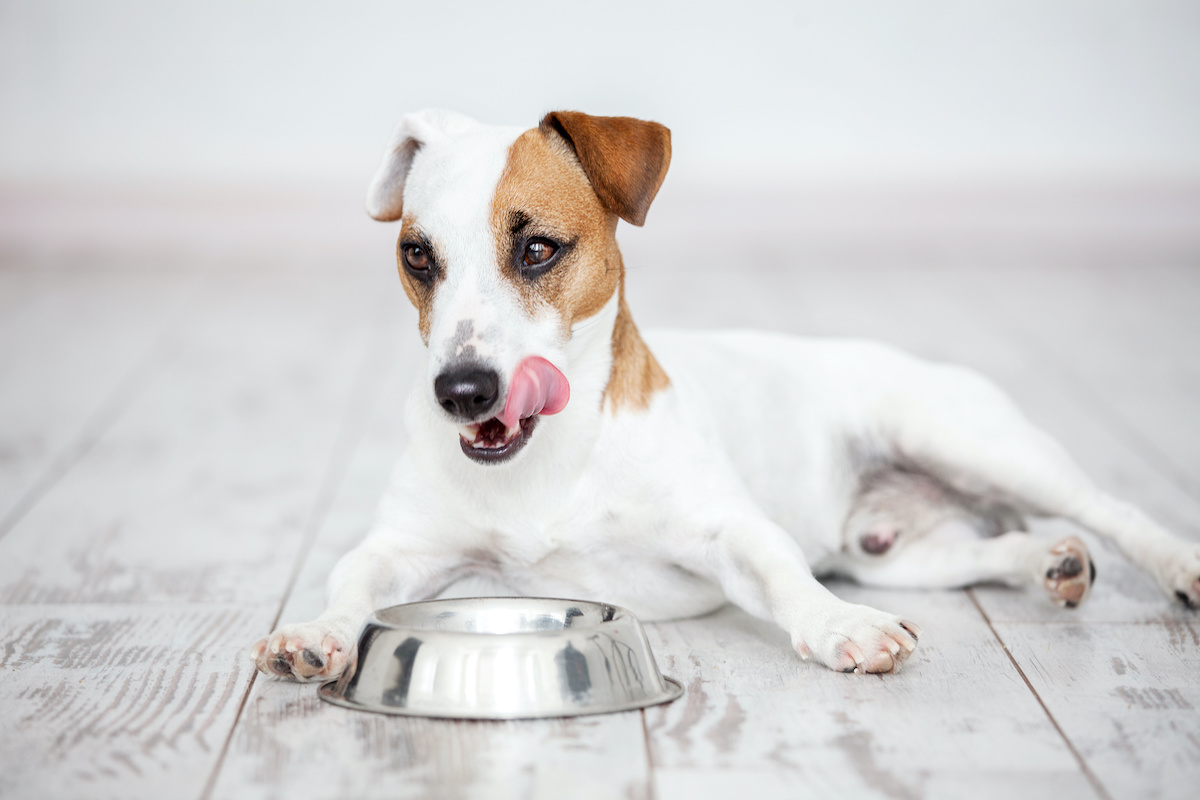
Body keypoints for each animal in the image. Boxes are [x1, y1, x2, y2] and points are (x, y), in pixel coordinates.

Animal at [250, 109, 1200, 681]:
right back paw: (1045, 562)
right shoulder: (404, 547)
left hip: (968, 439)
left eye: (538, 249)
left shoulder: (728, 530)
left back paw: (1174, 564)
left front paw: (841, 628)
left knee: (1110, 509)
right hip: (888, 552)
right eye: (418, 256)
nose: (461, 390)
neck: (554, 458)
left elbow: (781, 574)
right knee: (984, 551)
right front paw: (318, 631)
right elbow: (353, 576)